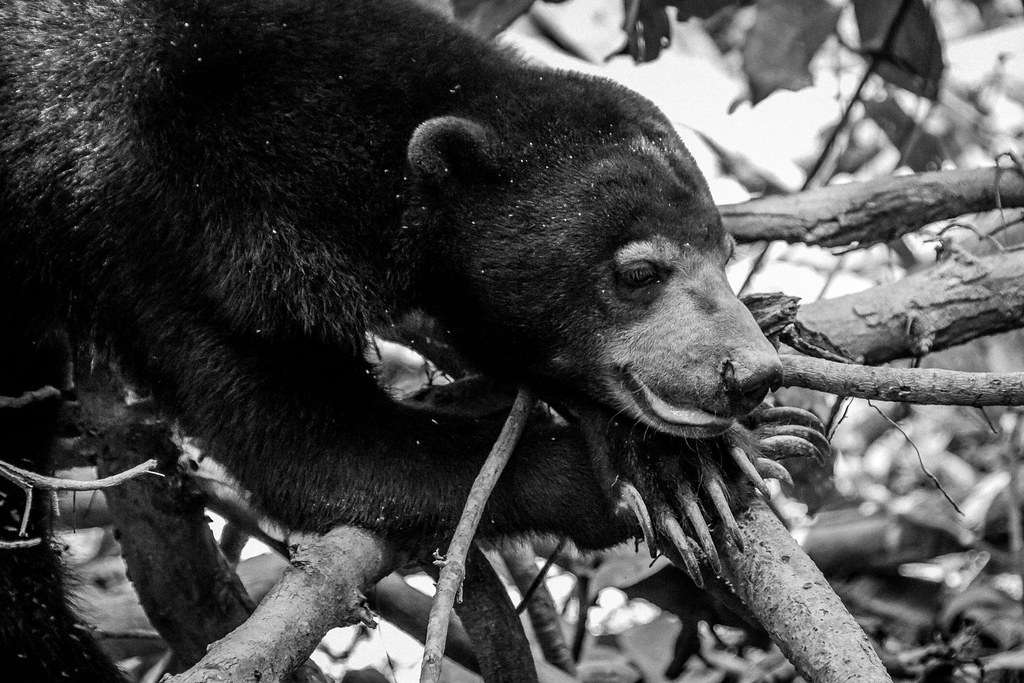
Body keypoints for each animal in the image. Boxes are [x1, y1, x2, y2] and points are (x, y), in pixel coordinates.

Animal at [0, 0, 825, 679]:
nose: (750, 374)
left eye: (724, 252)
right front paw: (663, 478)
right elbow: (310, 442)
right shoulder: (174, 229)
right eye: (639, 272)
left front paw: (696, 451)